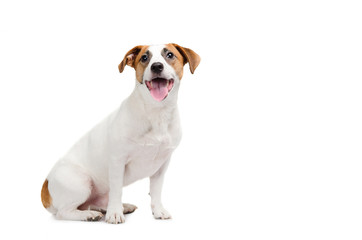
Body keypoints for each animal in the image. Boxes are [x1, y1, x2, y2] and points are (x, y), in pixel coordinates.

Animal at [41, 42, 202, 223]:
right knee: (64, 212)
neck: (156, 112)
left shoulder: (161, 166)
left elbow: (156, 190)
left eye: (170, 55)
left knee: (93, 203)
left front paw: (158, 210)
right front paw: (115, 214)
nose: (157, 66)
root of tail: (46, 187)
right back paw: (89, 215)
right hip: (81, 183)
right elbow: (117, 190)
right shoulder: (118, 161)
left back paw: (119, 207)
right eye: (144, 58)